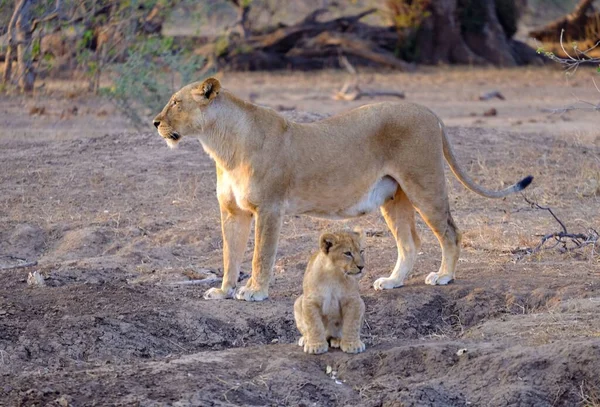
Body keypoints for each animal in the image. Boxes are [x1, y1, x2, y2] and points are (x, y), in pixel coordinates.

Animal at [152, 77, 532, 302]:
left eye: (175, 103)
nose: (155, 123)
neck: (221, 145)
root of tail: (430, 111)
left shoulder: (270, 208)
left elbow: (261, 255)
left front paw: (255, 291)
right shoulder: (232, 212)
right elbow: (230, 255)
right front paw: (223, 290)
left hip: (424, 183)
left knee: (451, 231)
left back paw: (444, 277)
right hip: (394, 196)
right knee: (410, 242)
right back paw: (392, 281)